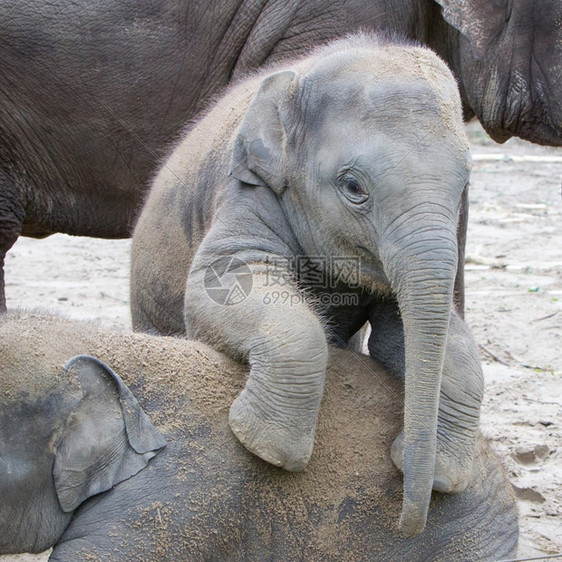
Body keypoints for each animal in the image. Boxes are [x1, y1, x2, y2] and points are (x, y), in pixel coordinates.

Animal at [130, 35, 482, 532]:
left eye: (466, 183)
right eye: (353, 186)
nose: (406, 525)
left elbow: (416, 333)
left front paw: (444, 478)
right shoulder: (247, 190)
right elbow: (217, 286)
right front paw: (266, 448)